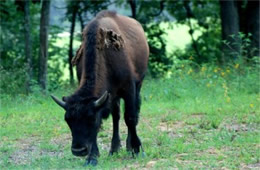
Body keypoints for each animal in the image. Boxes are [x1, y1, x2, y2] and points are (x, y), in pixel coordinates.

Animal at [51, 10, 148, 166]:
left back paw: (127, 147)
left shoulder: (129, 89)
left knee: (130, 115)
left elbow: (130, 117)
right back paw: (114, 149)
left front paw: (137, 149)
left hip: (138, 85)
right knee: (116, 117)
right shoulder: (108, 96)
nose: (78, 150)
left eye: (91, 118)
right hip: (114, 96)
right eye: (67, 119)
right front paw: (92, 158)